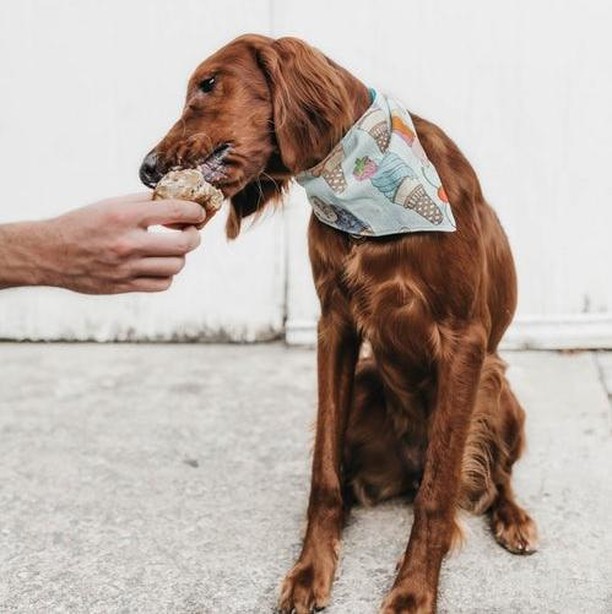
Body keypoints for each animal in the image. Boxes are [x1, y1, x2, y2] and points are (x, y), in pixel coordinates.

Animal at [139, 35, 536, 614]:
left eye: (208, 84)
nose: (147, 169)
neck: (362, 192)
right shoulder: (336, 326)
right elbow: (323, 474)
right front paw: (310, 568)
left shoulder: (464, 339)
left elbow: (438, 492)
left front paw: (413, 589)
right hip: (370, 384)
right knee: (353, 480)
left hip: (498, 388)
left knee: (493, 478)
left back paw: (514, 518)